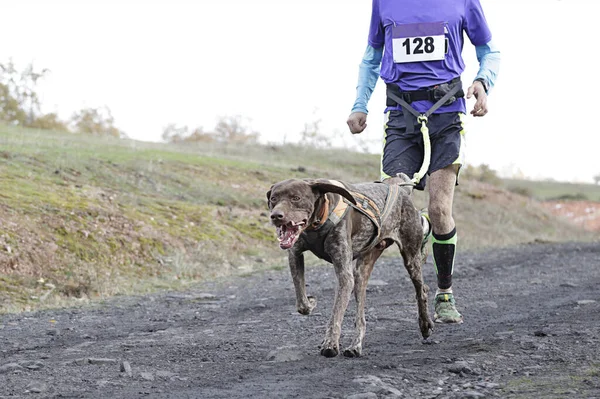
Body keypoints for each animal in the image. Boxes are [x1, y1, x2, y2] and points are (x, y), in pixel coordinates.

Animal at [266, 173, 432, 358]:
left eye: (296, 198)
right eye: (273, 199)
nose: (276, 216)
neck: (318, 221)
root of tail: (402, 191)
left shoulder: (345, 276)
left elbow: (336, 314)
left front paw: (330, 343)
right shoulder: (295, 255)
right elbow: (301, 303)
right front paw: (311, 303)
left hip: (411, 259)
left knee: (421, 291)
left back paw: (425, 324)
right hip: (361, 273)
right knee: (361, 318)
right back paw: (355, 346)